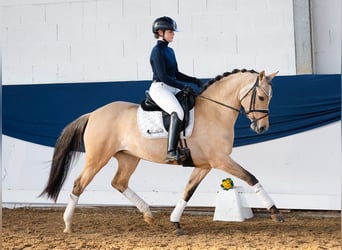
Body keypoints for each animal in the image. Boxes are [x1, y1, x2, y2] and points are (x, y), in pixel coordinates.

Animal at [41, 68, 284, 234]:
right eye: (261, 97)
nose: (262, 128)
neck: (215, 112)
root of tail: (93, 113)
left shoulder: (205, 165)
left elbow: (188, 191)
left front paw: (175, 222)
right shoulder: (220, 160)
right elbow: (251, 178)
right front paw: (275, 212)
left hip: (129, 158)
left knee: (119, 182)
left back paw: (148, 215)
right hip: (97, 158)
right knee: (78, 184)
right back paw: (68, 224)